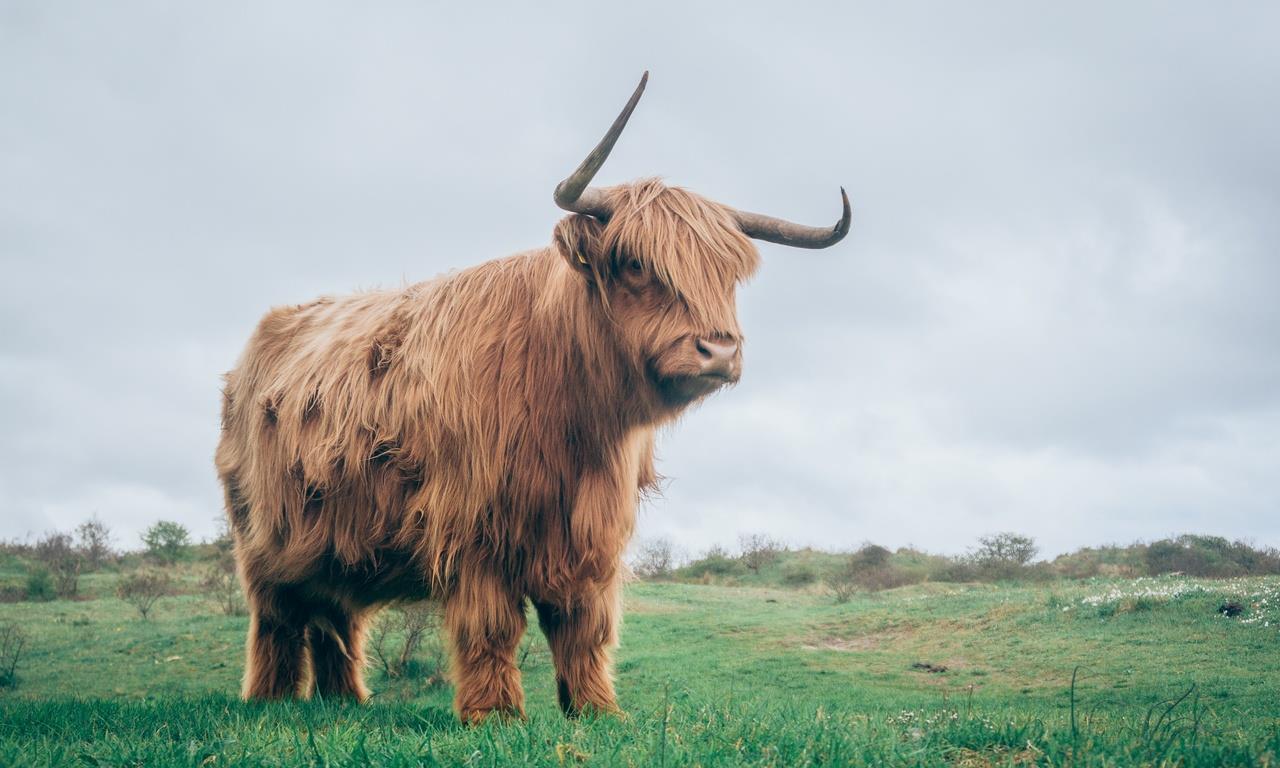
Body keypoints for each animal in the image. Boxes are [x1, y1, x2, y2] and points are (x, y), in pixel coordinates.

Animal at [215, 72, 849, 721]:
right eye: (635, 263)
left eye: (727, 275)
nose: (718, 351)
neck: (574, 419)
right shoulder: (473, 527)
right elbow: (492, 626)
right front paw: (495, 715)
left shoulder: (592, 536)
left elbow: (583, 627)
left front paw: (596, 710)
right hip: (262, 539)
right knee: (278, 619)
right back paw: (270, 700)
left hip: (333, 543)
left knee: (335, 617)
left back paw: (345, 702)